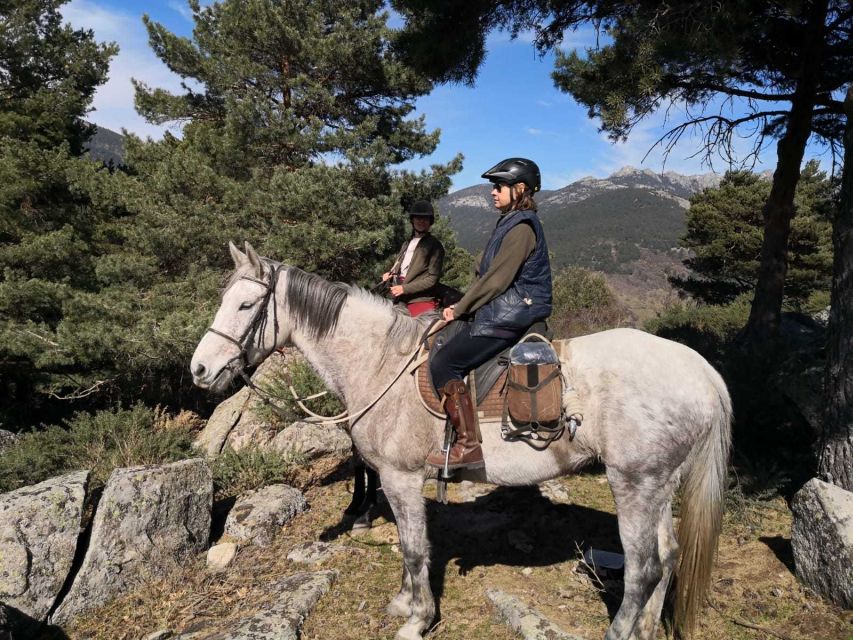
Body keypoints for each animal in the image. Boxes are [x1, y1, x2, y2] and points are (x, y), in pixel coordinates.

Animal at [193, 242, 732, 636]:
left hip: (634, 484)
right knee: (667, 557)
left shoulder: (401, 477)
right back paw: (644, 630)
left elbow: (414, 548)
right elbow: (410, 546)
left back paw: (620, 632)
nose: (199, 369)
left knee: (643, 569)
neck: (380, 360)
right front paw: (405, 603)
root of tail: (703, 372)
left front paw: (418, 620)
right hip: (658, 484)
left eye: (246, 304)